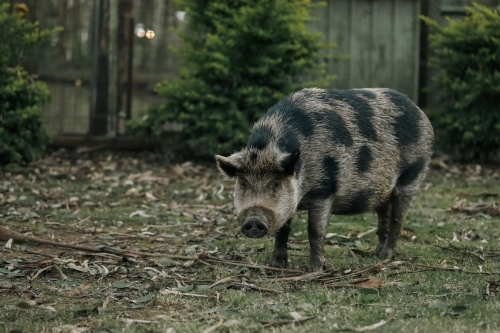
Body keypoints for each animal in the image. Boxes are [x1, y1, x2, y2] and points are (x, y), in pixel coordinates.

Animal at [215, 87, 434, 272]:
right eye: (243, 184)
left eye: (275, 184)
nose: (254, 220)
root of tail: (420, 112)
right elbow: (283, 231)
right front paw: (276, 266)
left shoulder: (324, 191)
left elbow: (315, 231)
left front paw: (315, 270)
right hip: (384, 191)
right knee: (384, 216)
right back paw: (376, 253)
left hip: (413, 174)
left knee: (397, 218)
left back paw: (386, 256)